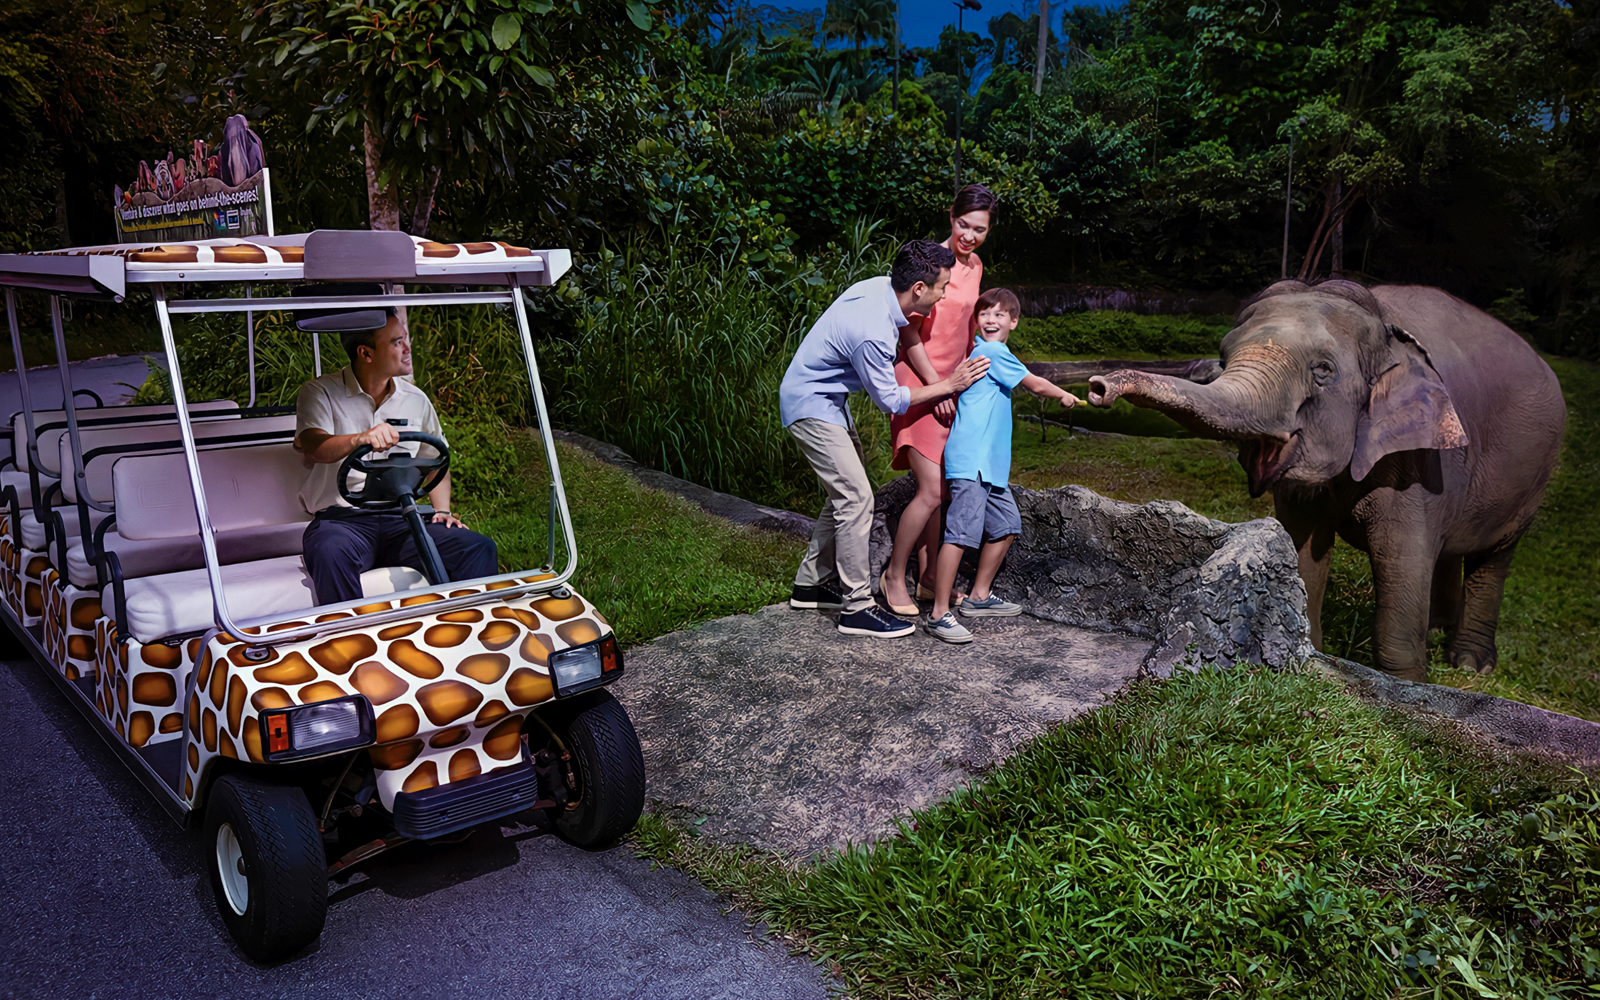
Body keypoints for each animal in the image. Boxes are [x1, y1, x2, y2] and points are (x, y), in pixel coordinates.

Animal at [1088, 278, 1561, 678]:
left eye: (1323, 370)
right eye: (1222, 359)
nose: (1097, 387)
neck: (1383, 325)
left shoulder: (1420, 460)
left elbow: (1403, 559)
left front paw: (1408, 683)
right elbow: (1300, 546)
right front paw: (1309, 651)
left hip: (1533, 480)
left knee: (1493, 557)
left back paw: (1470, 665)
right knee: (1450, 549)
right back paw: (1437, 629)